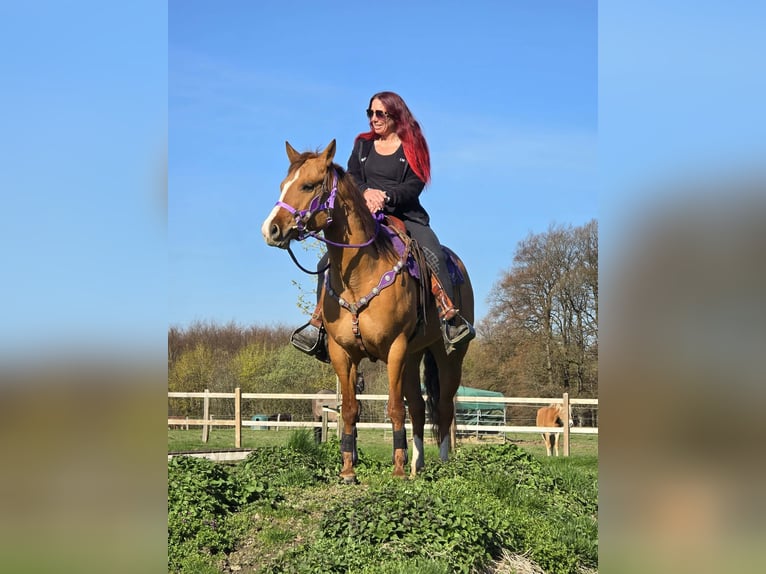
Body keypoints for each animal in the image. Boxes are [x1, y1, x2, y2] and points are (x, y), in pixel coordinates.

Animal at [261, 140, 474, 482]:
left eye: (308, 185)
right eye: (283, 185)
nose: (271, 229)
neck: (360, 277)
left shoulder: (395, 349)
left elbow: (395, 408)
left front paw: (397, 470)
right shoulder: (343, 352)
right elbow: (350, 409)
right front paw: (348, 469)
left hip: (448, 355)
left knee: (443, 407)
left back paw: (441, 463)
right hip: (414, 355)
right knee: (419, 406)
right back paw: (417, 465)